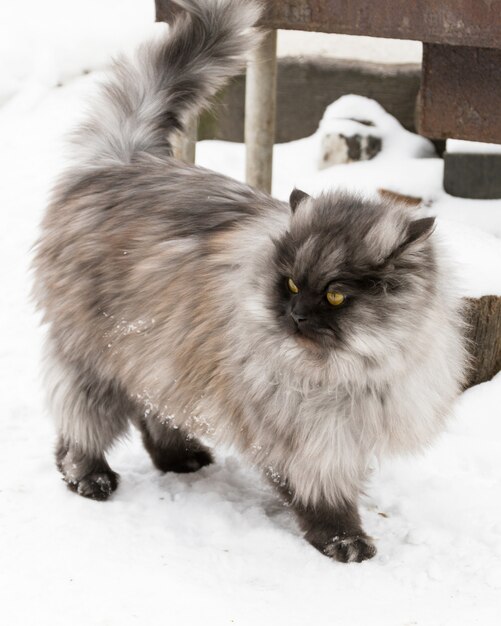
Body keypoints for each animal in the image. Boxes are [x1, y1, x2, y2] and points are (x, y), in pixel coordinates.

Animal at [34, 0, 464, 560]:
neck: (348, 372)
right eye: (291, 285)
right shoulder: (302, 436)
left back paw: (180, 459)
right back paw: (89, 477)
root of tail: (125, 158)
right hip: (95, 358)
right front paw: (343, 540)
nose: (296, 315)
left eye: (336, 294)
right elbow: (321, 492)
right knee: (77, 428)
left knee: (152, 414)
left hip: (158, 356)